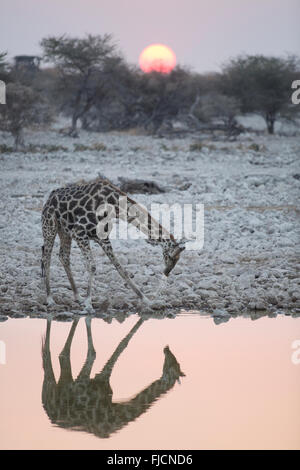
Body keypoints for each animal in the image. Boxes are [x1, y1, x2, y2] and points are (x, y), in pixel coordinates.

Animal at [40, 176, 184, 312]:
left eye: (177, 260)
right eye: (170, 257)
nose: (166, 272)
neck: (115, 207)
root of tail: (49, 198)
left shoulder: (102, 238)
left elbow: (121, 269)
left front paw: (146, 300)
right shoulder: (79, 233)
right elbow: (92, 266)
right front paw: (88, 304)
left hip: (64, 231)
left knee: (63, 256)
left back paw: (77, 296)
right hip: (50, 227)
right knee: (46, 258)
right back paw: (50, 299)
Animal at [41, 318, 184, 438]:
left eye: (177, 364)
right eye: (173, 365)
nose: (167, 349)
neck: (115, 413)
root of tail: (47, 409)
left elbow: (119, 345)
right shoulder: (86, 380)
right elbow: (97, 351)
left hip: (64, 380)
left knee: (63, 356)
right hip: (51, 385)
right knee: (48, 357)